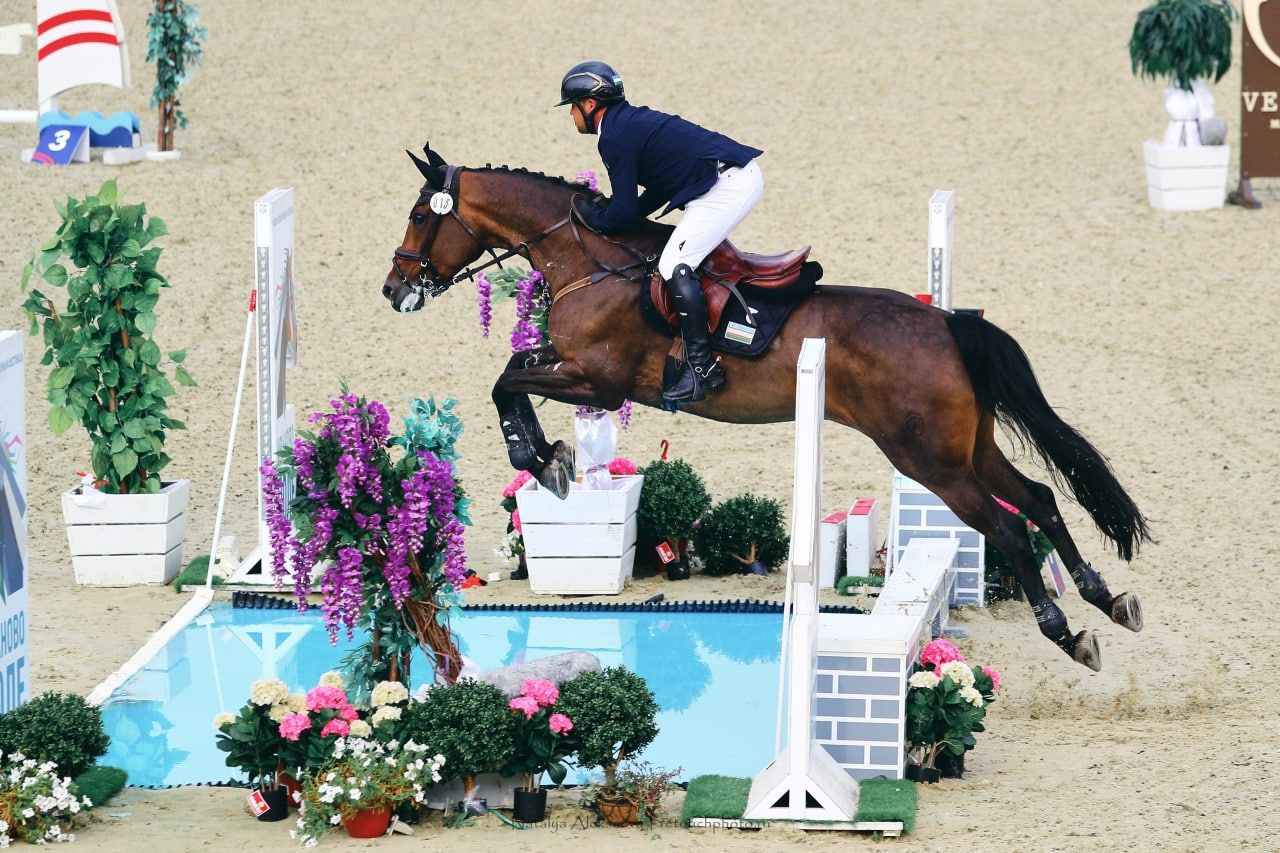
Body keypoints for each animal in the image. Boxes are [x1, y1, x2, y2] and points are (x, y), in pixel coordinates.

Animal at [382, 144, 1150, 671]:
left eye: (421, 215)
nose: (394, 290)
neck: (588, 260)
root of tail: (946, 324)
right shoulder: (580, 376)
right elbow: (511, 377)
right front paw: (550, 459)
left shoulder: (597, 382)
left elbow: (505, 381)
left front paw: (541, 458)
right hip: (969, 447)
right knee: (1042, 498)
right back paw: (1107, 599)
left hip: (930, 460)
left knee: (1012, 528)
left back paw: (1067, 631)